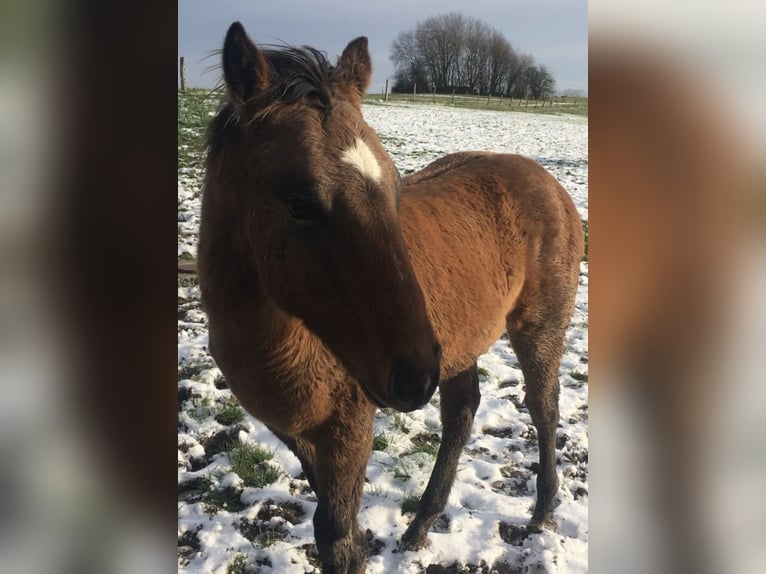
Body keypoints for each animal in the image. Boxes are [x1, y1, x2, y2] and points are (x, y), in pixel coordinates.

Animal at [196, 21, 584, 572]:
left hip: (538, 326)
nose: (413, 376)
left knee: (543, 407)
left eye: (395, 186)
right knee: (461, 413)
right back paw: (421, 524)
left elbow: (337, 537)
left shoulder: (349, 426)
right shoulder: (298, 432)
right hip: (460, 341)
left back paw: (543, 511)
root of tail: (546, 180)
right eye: (298, 202)